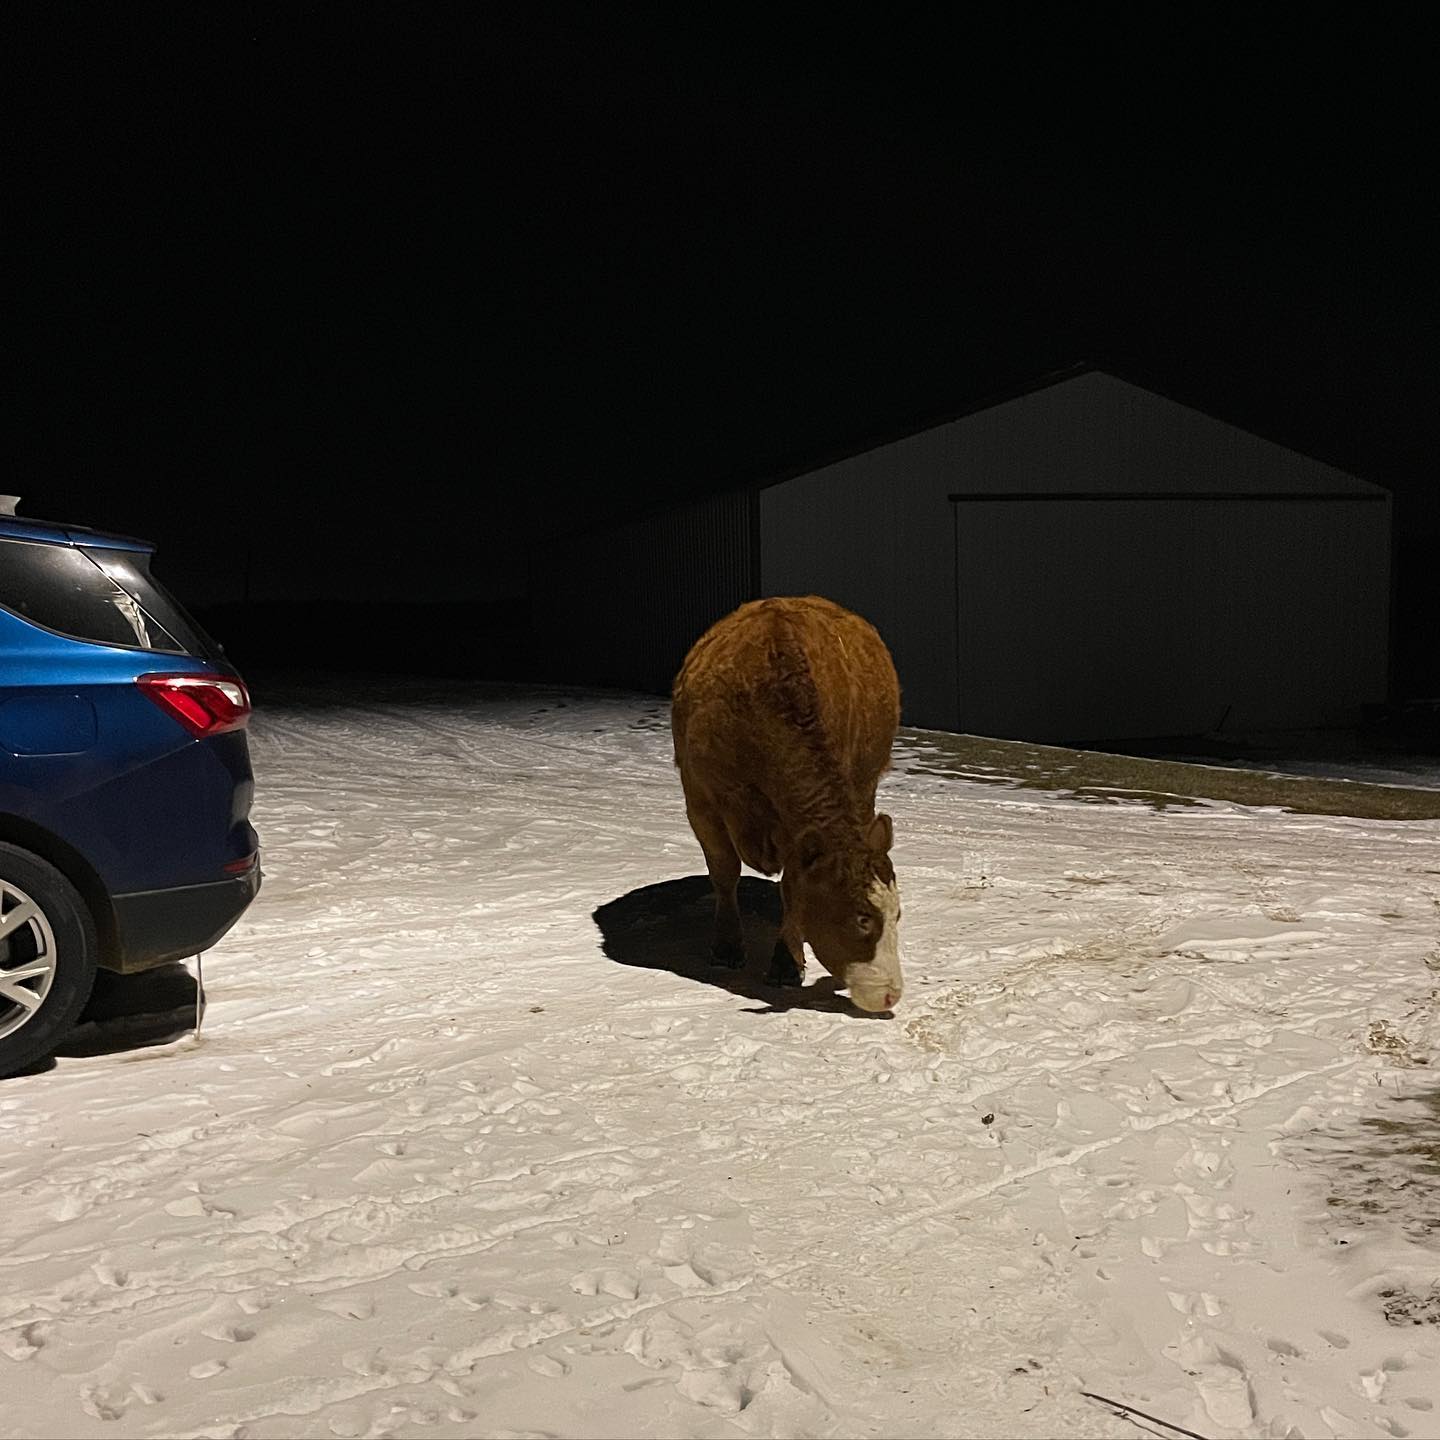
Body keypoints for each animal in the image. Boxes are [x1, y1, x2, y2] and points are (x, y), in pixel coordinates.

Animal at [671, 595, 904, 1013]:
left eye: (899, 914)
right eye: (862, 919)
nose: (891, 993)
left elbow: (793, 888)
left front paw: (785, 962)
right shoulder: (701, 801)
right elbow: (724, 871)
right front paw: (726, 947)